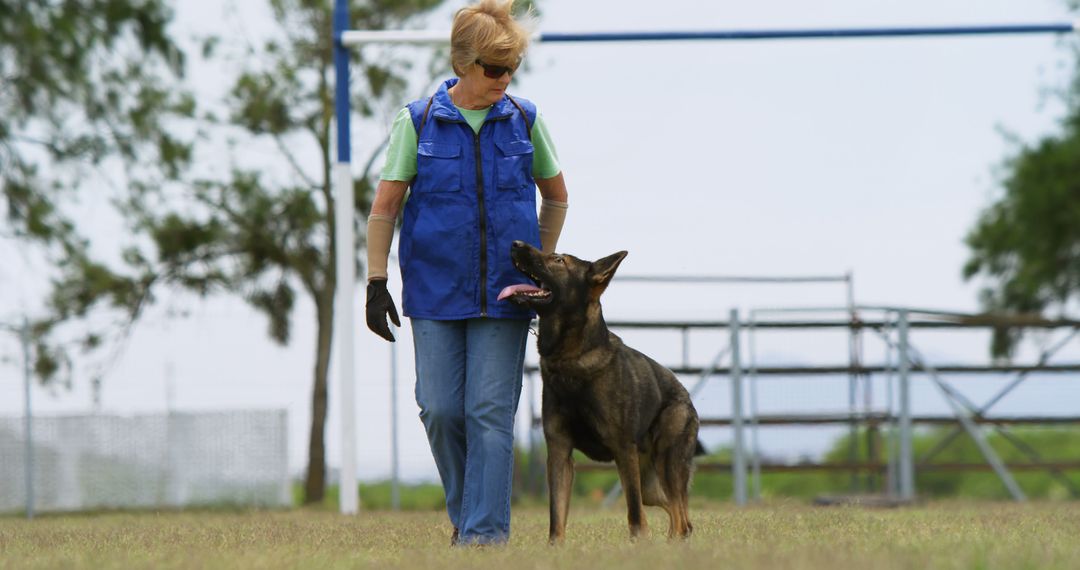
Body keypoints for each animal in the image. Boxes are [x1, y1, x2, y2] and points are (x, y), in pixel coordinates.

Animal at [501, 239, 704, 544]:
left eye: (559, 260)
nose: (515, 243)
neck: (571, 357)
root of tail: (685, 396)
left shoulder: (622, 450)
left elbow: (634, 515)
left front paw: (638, 544)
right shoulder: (560, 453)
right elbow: (556, 516)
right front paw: (555, 548)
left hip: (666, 465)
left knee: (680, 518)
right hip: (650, 485)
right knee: (678, 515)